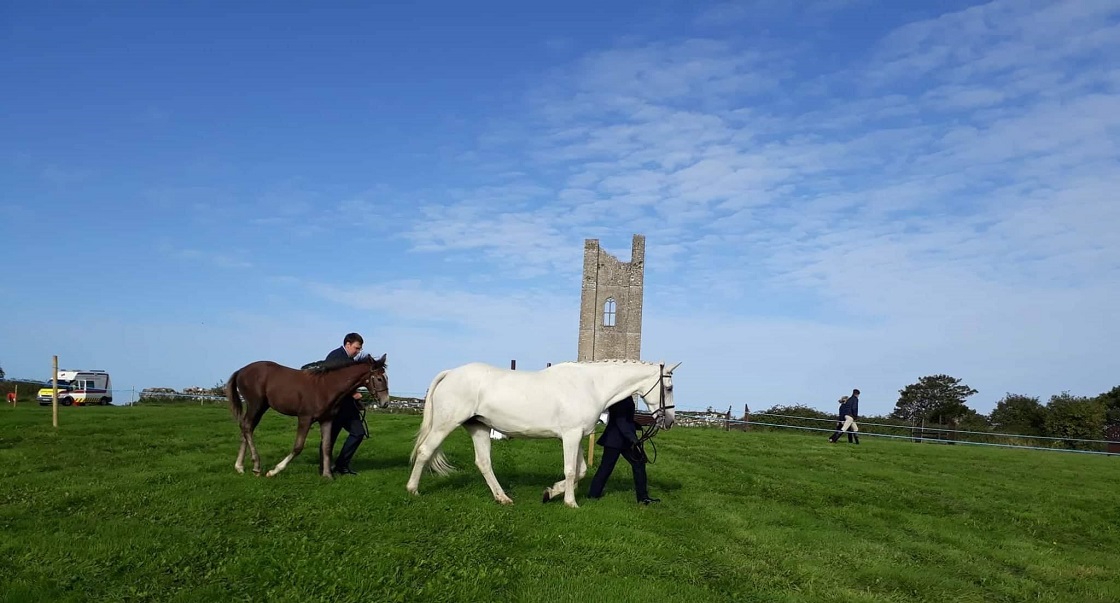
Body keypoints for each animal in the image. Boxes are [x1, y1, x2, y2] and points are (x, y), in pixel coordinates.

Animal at [225, 354, 387, 477]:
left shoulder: (326, 419)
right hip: (255, 404)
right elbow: (298, 446)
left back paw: (240, 467)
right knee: (247, 427)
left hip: (261, 407)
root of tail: (241, 370)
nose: (385, 402)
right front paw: (274, 471)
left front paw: (327, 475)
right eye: (379, 378)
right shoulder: (305, 418)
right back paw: (256, 466)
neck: (326, 387)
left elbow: (327, 446)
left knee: (246, 427)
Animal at [407, 356, 676, 506]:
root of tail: (450, 373)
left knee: (483, 462)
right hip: (445, 424)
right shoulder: (570, 436)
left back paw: (503, 498)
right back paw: (413, 490)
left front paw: (550, 492)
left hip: (479, 427)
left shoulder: (577, 437)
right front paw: (570, 503)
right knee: (425, 451)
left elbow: (580, 471)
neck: (590, 385)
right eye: (669, 387)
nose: (670, 420)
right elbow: (570, 470)